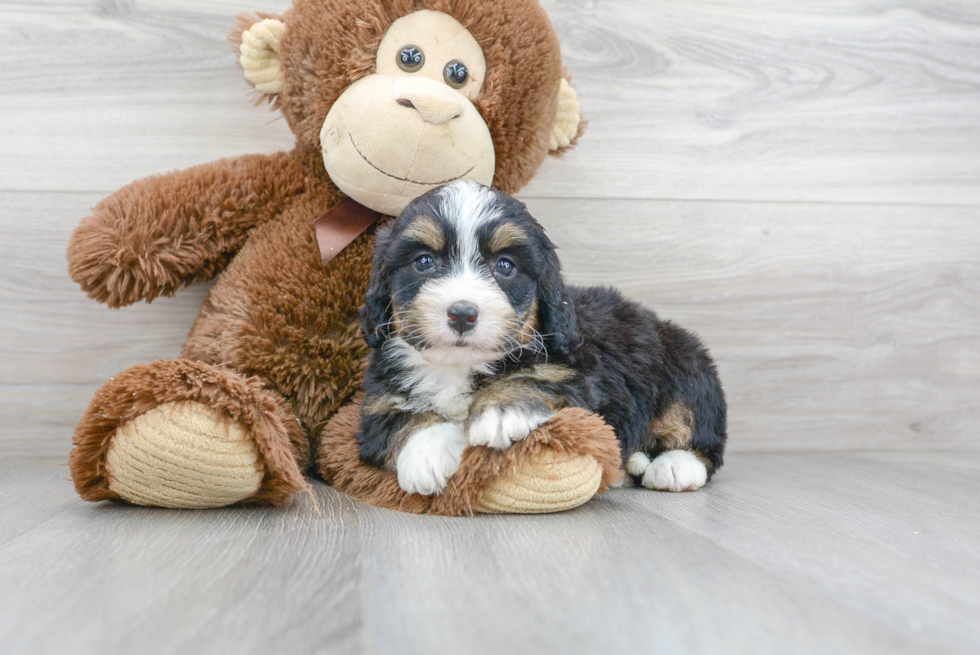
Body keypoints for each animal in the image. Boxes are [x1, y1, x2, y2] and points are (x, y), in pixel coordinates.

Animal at [356, 181, 724, 498]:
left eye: (505, 266)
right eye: (424, 262)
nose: (462, 313)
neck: (459, 365)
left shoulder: (575, 376)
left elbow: (535, 378)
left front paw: (501, 408)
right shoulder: (377, 398)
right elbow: (398, 416)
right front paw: (429, 450)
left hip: (688, 366)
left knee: (698, 432)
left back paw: (674, 466)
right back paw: (630, 464)